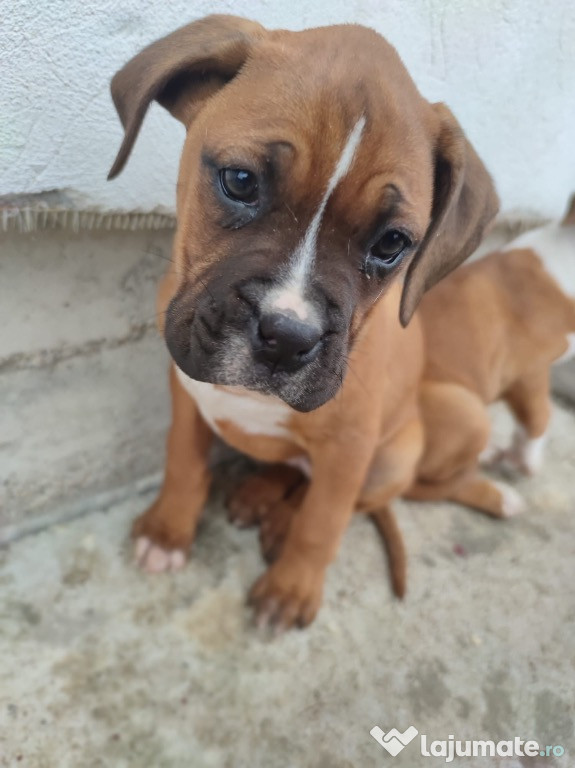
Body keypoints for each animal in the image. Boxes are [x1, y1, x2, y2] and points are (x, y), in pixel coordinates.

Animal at [109, 15, 500, 632]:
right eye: (240, 181)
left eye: (392, 244)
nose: (287, 338)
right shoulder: (187, 390)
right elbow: (183, 461)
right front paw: (169, 530)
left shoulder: (349, 446)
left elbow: (325, 520)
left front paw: (291, 588)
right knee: (291, 468)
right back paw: (259, 495)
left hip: (396, 454)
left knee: (342, 497)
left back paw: (278, 520)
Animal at [408, 194, 575, 516]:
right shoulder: (530, 372)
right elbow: (540, 416)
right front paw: (527, 461)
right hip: (466, 411)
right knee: (429, 483)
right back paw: (501, 499)